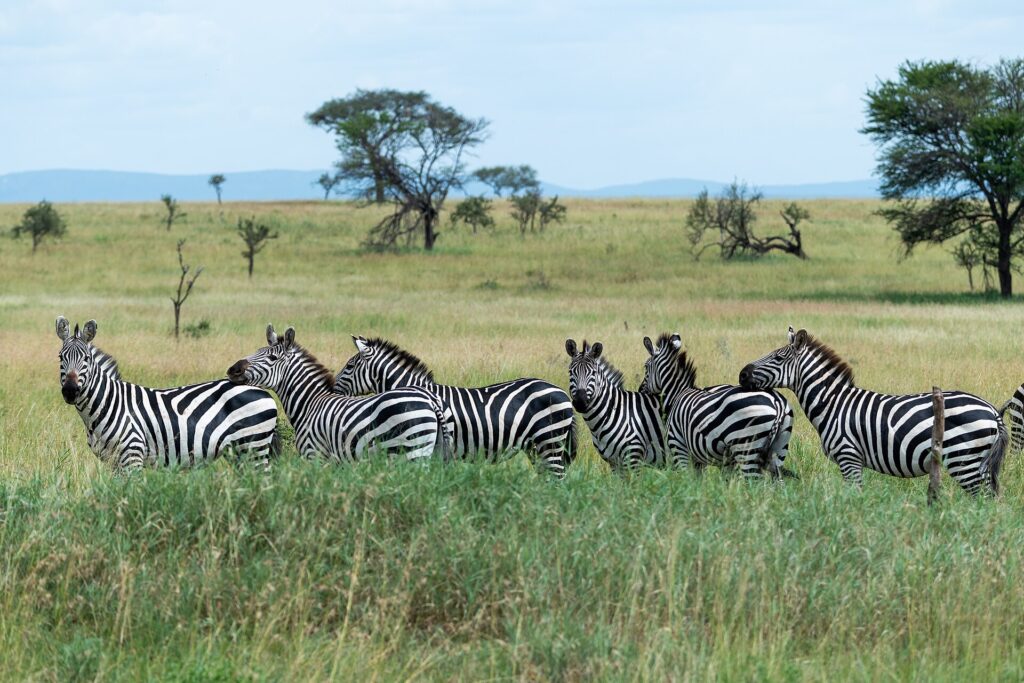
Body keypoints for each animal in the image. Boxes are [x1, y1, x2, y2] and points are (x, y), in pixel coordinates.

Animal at [56, 316, 280, 472]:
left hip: (254, 446)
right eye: (60, 357)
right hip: (240, 453)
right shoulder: (113, 461)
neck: (108, 405)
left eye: (86, 358)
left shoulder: (132, 455)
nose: (70, 391)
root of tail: (261, 390)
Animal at [228, 325, 451, 463]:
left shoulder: (314, 454)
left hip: (411, 451)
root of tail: (430, 400)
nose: (232, 370)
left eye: (272, 358)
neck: (309, 404)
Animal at [639, 333, 793, 477]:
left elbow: (686, 478)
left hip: (746, 446)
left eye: (646, 367)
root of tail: (777, 401)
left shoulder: (678, 445)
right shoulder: (704, 459)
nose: (640, 389)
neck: (678, 393)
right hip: (779, 449)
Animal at [739, 326, 1008, 494]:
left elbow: (854, 498)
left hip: (964, 461)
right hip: (978, 463)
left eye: (777, 358)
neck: (833, 403)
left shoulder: (848, 457)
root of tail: (992, 411)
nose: (742, 374)